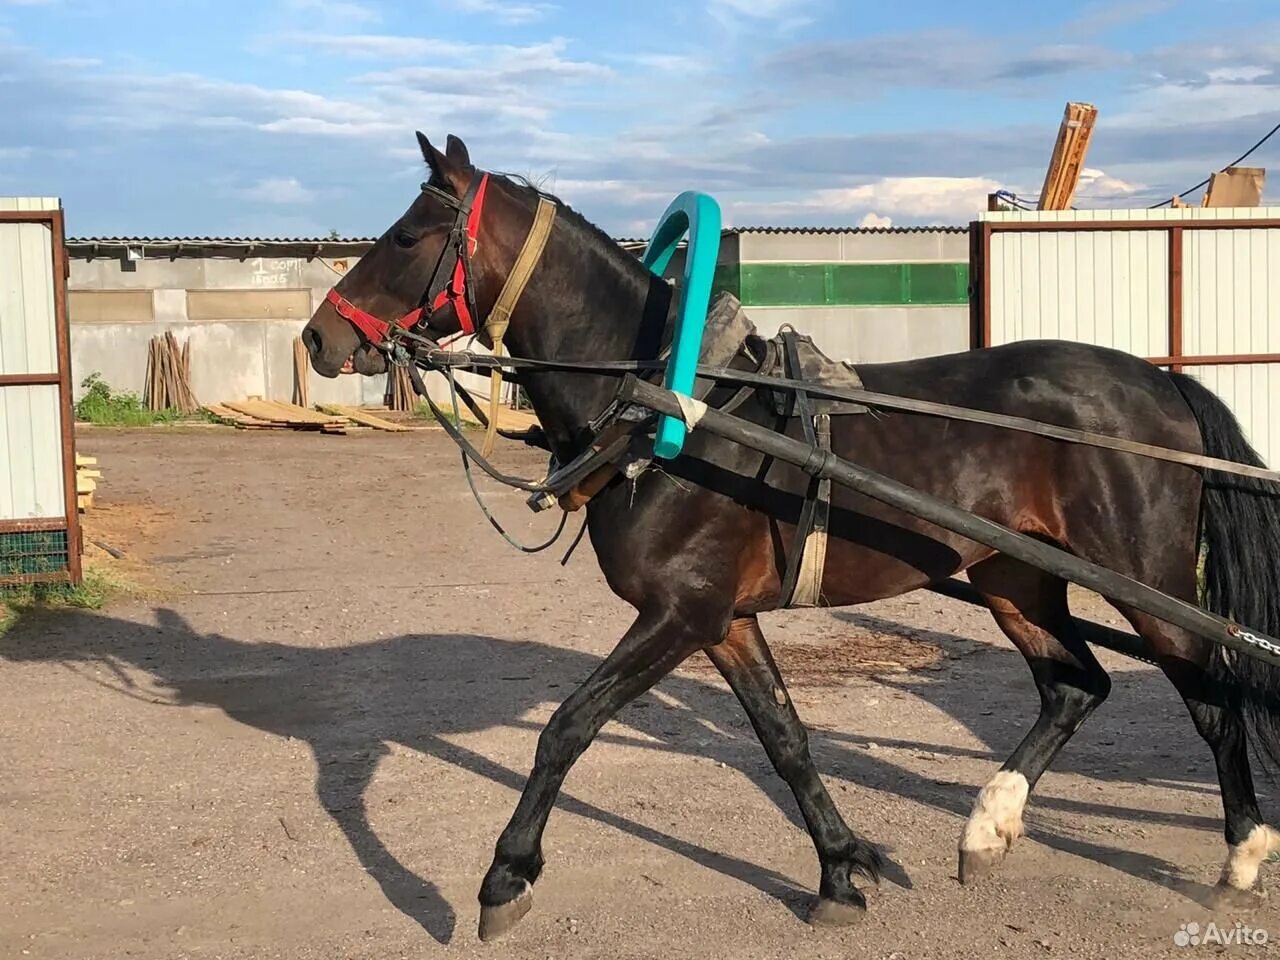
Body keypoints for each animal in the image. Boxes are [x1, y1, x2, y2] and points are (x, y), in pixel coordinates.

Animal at [302, 131, 1280, 942]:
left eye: (406, 236)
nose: (316, 336)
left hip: (1145, 580)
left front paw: (507, 877)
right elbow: (785, 737)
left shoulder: (680, 615)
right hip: (1015, 577)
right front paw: (842, 870)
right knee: (1076, 686)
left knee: (1212, 697)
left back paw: (1240, 855)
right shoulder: (723, 622)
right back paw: (987, 826)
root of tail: (1160, 382)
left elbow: (566, 728)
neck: (673, 406)